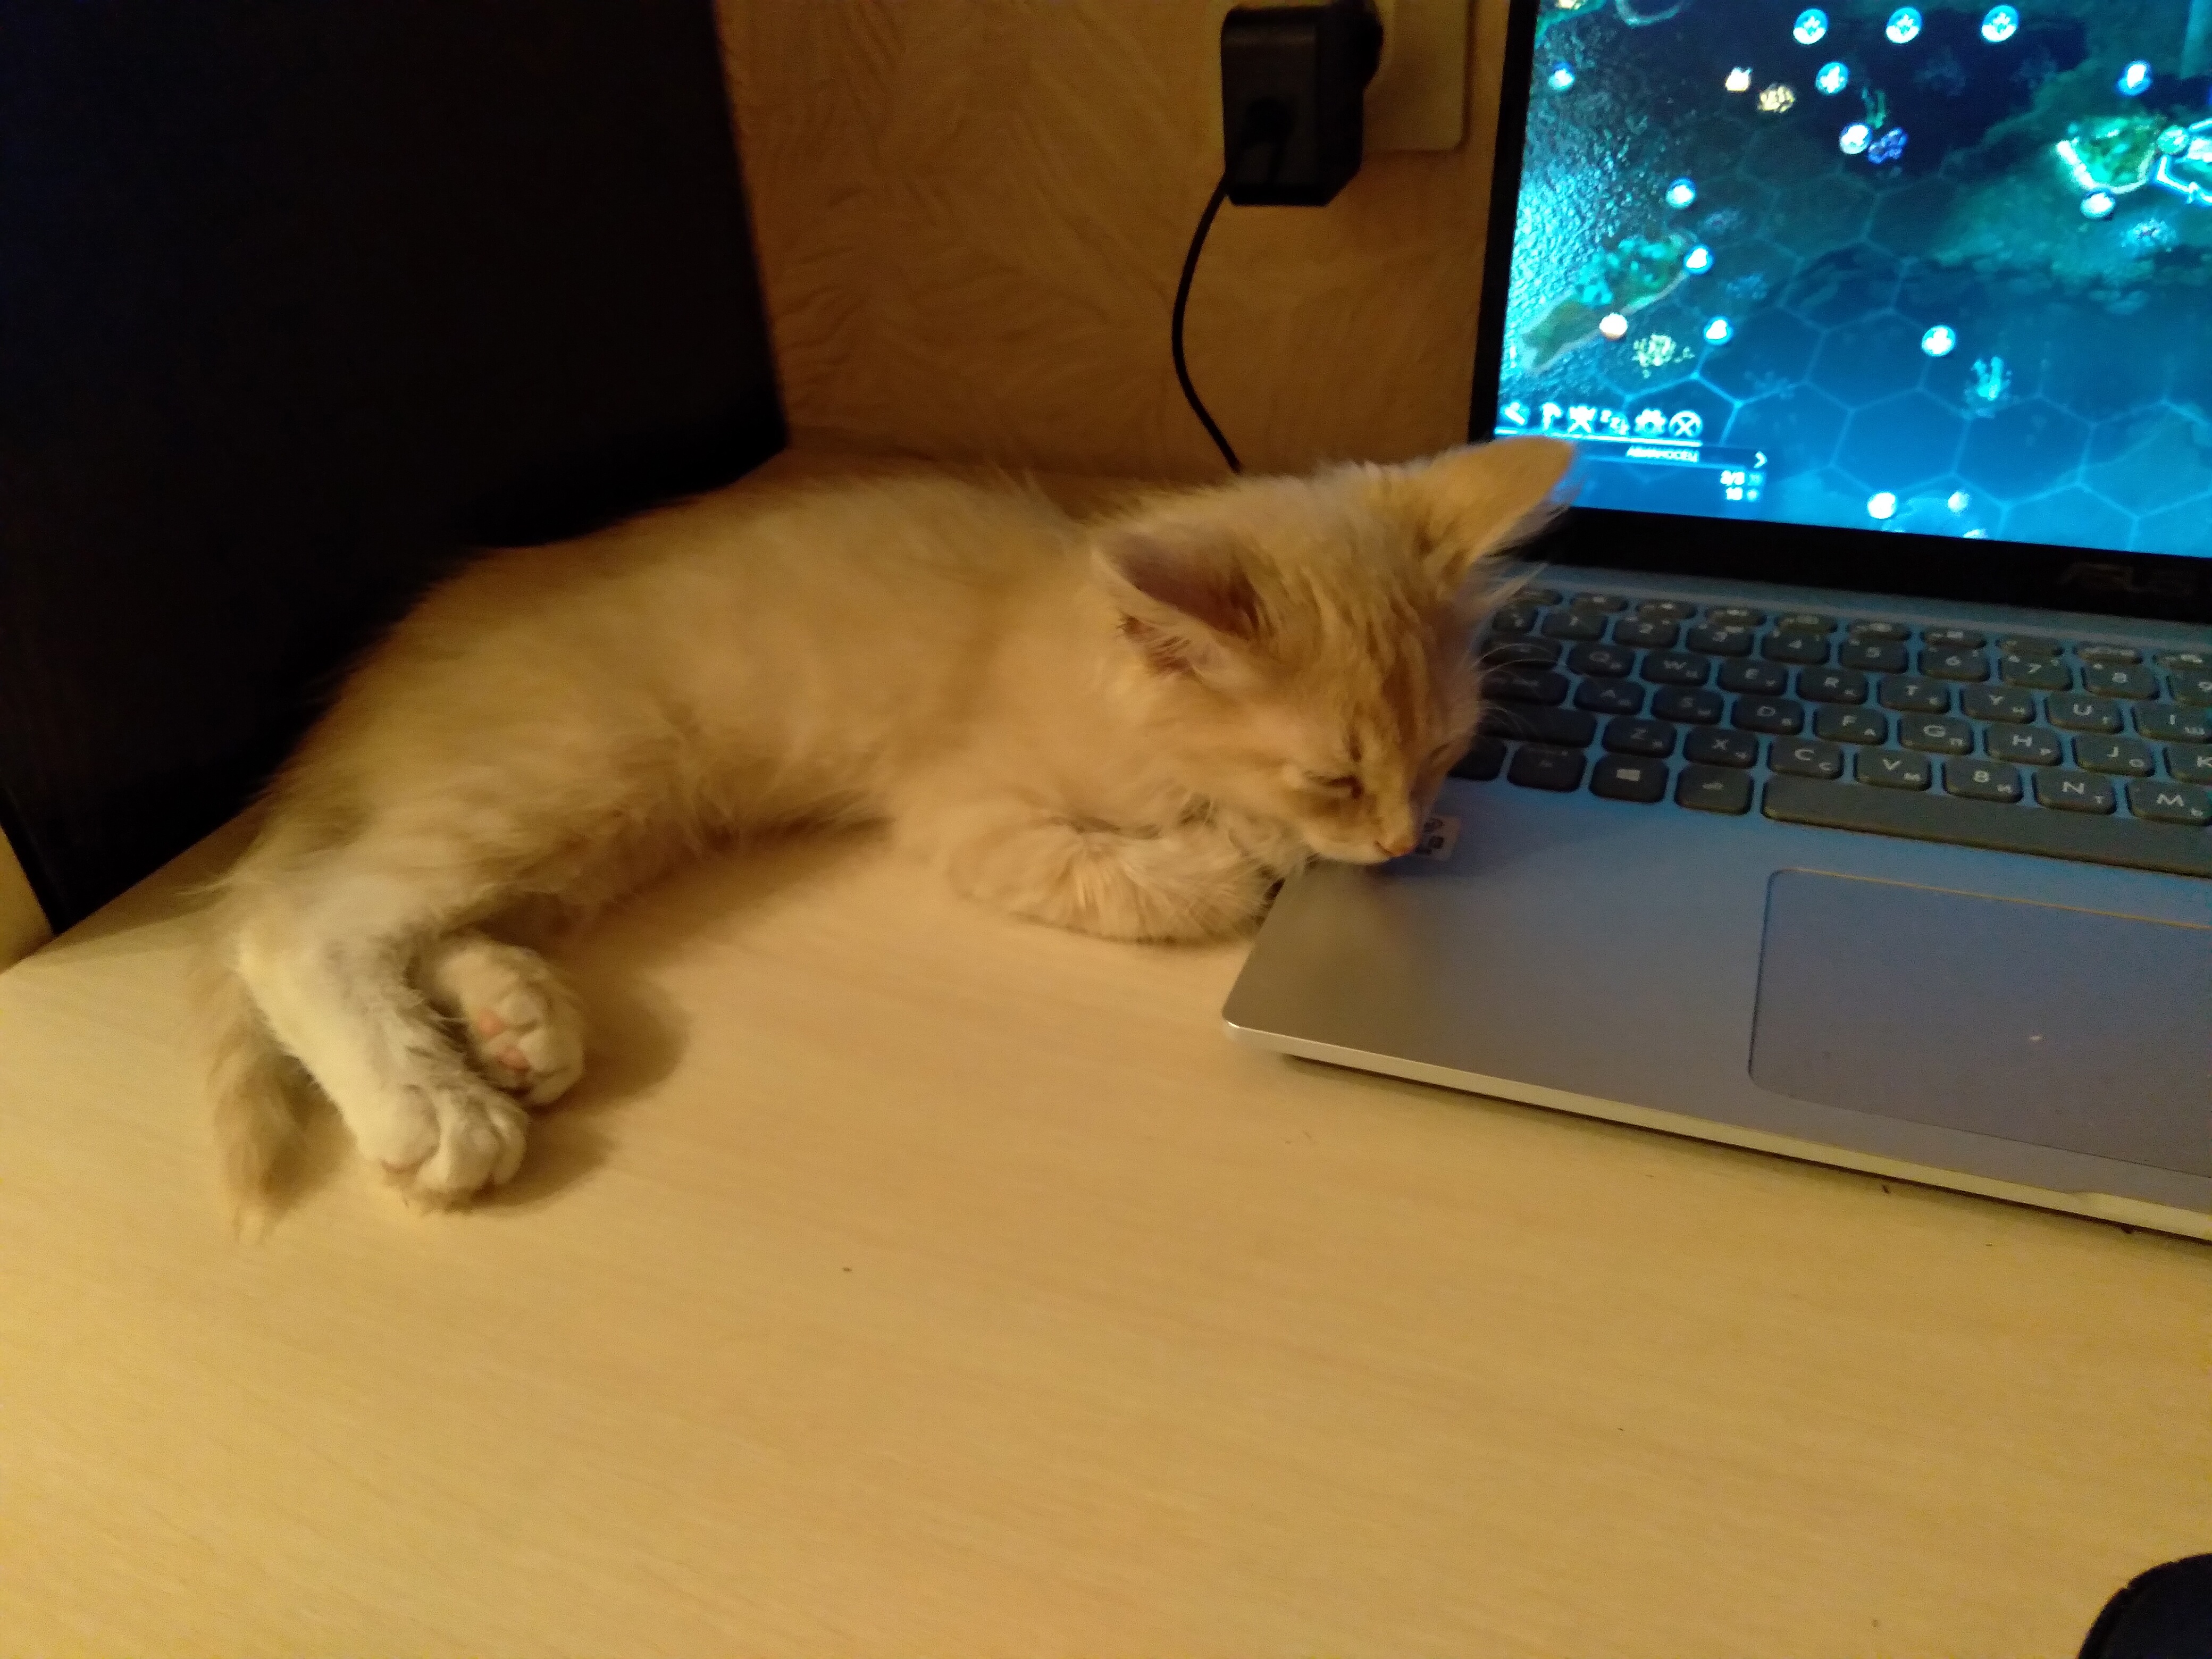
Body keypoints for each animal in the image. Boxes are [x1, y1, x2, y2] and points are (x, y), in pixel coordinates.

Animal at [202, 438, 1573, 1213]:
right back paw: (429, 1099)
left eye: (1442, 754)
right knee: (300, 918)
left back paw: (509, 1019)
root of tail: (372, 689)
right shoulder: (968, 812)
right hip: (575, 765)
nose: (1393, 841)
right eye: (1333, 777)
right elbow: (1134, 874)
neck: (1064, 640)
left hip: (602, 826)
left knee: (405, 912)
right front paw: (1242, 859)